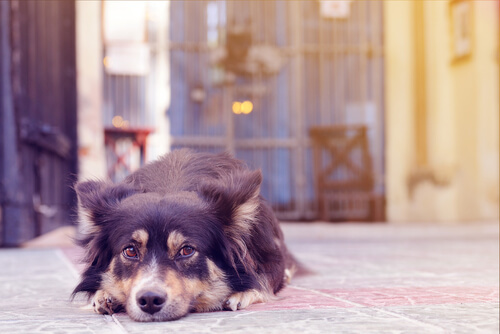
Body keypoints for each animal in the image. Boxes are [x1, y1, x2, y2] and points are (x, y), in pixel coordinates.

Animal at [72, 149, 298, 320]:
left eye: (187, 250)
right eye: (130, 251)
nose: (150, 300)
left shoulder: (270, 256)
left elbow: (262, 278)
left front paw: (242, 291)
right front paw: (104, 294)